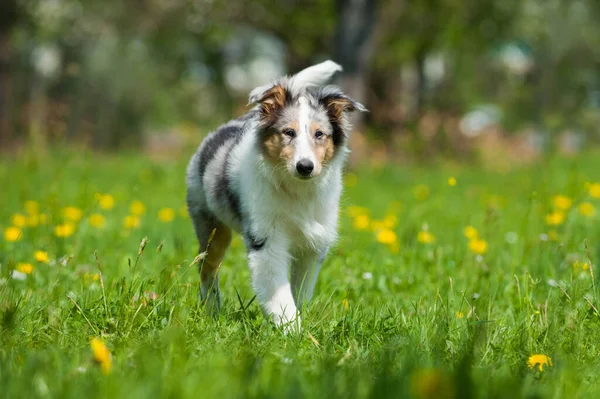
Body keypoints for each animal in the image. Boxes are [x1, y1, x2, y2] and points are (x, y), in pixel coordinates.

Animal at [186, 61, 366, 330]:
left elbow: (300, 290)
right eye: (288, 132)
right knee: (207, 266)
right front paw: (292, 329)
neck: (296, 190)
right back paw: (211, 311)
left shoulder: (313, 244)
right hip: (211, 225)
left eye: (319, 134)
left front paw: (299, 322)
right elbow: (279, 293)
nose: (305, 167)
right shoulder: (266, 240)